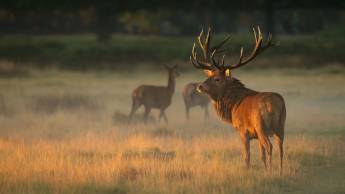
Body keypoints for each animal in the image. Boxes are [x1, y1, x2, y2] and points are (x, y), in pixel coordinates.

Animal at [191, 26, 284, 174]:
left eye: (217, 79)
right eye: (209, 76)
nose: (200, 86)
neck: (233, 105)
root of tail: (274, 104)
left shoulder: (243, 131)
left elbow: (247, 156)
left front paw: (249, 171)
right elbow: (261, 156)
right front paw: (263, 170)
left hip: (261, 126)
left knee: (270, 146)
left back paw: (271, 172)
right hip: (281, 125)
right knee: (281, 148)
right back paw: (280, 172)